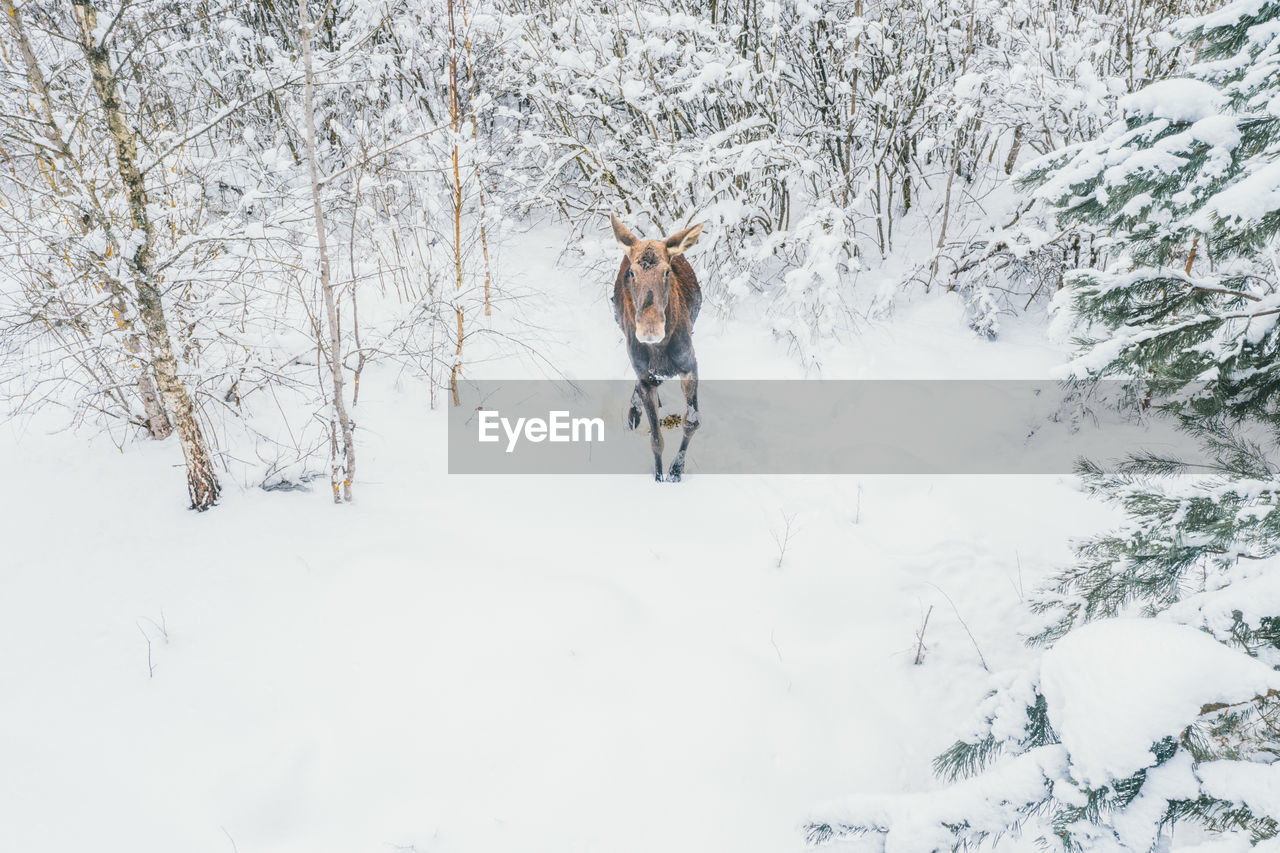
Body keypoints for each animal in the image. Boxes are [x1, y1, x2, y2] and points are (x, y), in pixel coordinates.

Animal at [606, 211, 706, 479]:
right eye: (632, 273)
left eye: (667, 271)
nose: (650, 329)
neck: (660, 350)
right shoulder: (643, 372)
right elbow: (656, 439)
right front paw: (659, 476)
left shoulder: (689, 364)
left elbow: (692, 421)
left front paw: (676, 470)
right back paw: (635, 412)